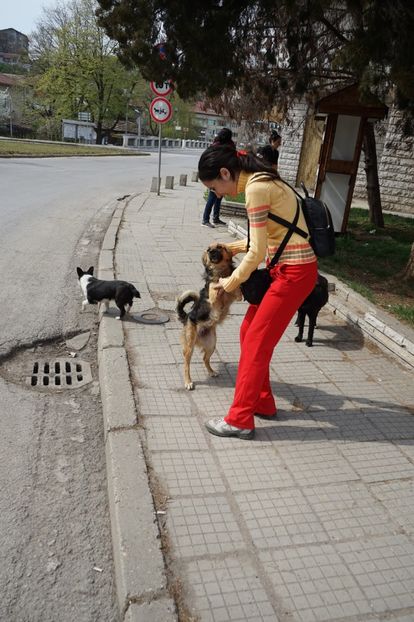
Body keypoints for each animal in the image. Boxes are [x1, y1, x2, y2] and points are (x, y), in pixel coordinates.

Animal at [175, 243, 241, 390]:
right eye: (208, 249)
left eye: (220, 247)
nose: (211, 252)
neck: (220, 271)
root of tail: (186, 317)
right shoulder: (212, 295)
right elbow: (213, 286)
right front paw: (217, 285)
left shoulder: (233, 294)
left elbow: (234, 288)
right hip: (190, 346)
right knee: (186, 365)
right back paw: (188, 381)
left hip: (212, 344)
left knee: (205, 359)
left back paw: (211, 372)